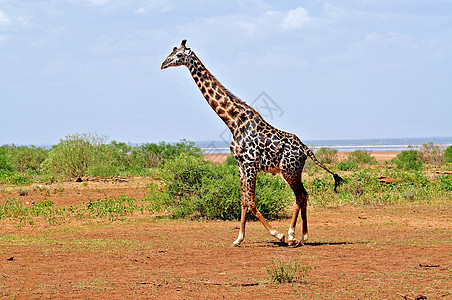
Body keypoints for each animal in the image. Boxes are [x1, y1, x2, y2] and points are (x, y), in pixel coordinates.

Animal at [162, 39, 342, 246]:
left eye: (178, 54)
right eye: (171, 52)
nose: (163, 64)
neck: (233, 121)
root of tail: (305, 149)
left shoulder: (250, 165)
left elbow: (251, 202)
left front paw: (277, 234)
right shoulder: (241, 165)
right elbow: (243, 201)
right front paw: (238, 238)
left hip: (290, 170)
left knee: (300, 195)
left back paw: (293, 235)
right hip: (293, 170)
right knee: (303, 195)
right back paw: (301, 236)